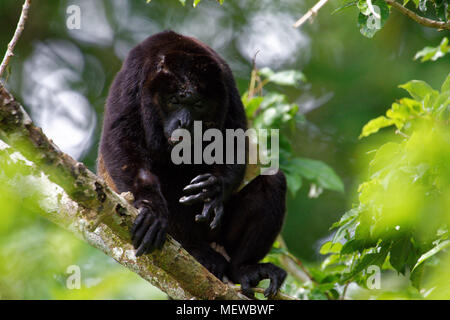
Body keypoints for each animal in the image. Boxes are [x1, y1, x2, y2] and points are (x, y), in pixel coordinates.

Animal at [99, 30, 288, 298]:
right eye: (174, 101)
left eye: (199, 104)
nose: (185, 123)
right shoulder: (132, 75)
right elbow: (122, 141)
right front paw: (150, 207)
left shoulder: (226, 81)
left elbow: (236, 138)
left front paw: (215, 188)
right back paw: (193, 250)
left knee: (273, 181)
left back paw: (243, 268)